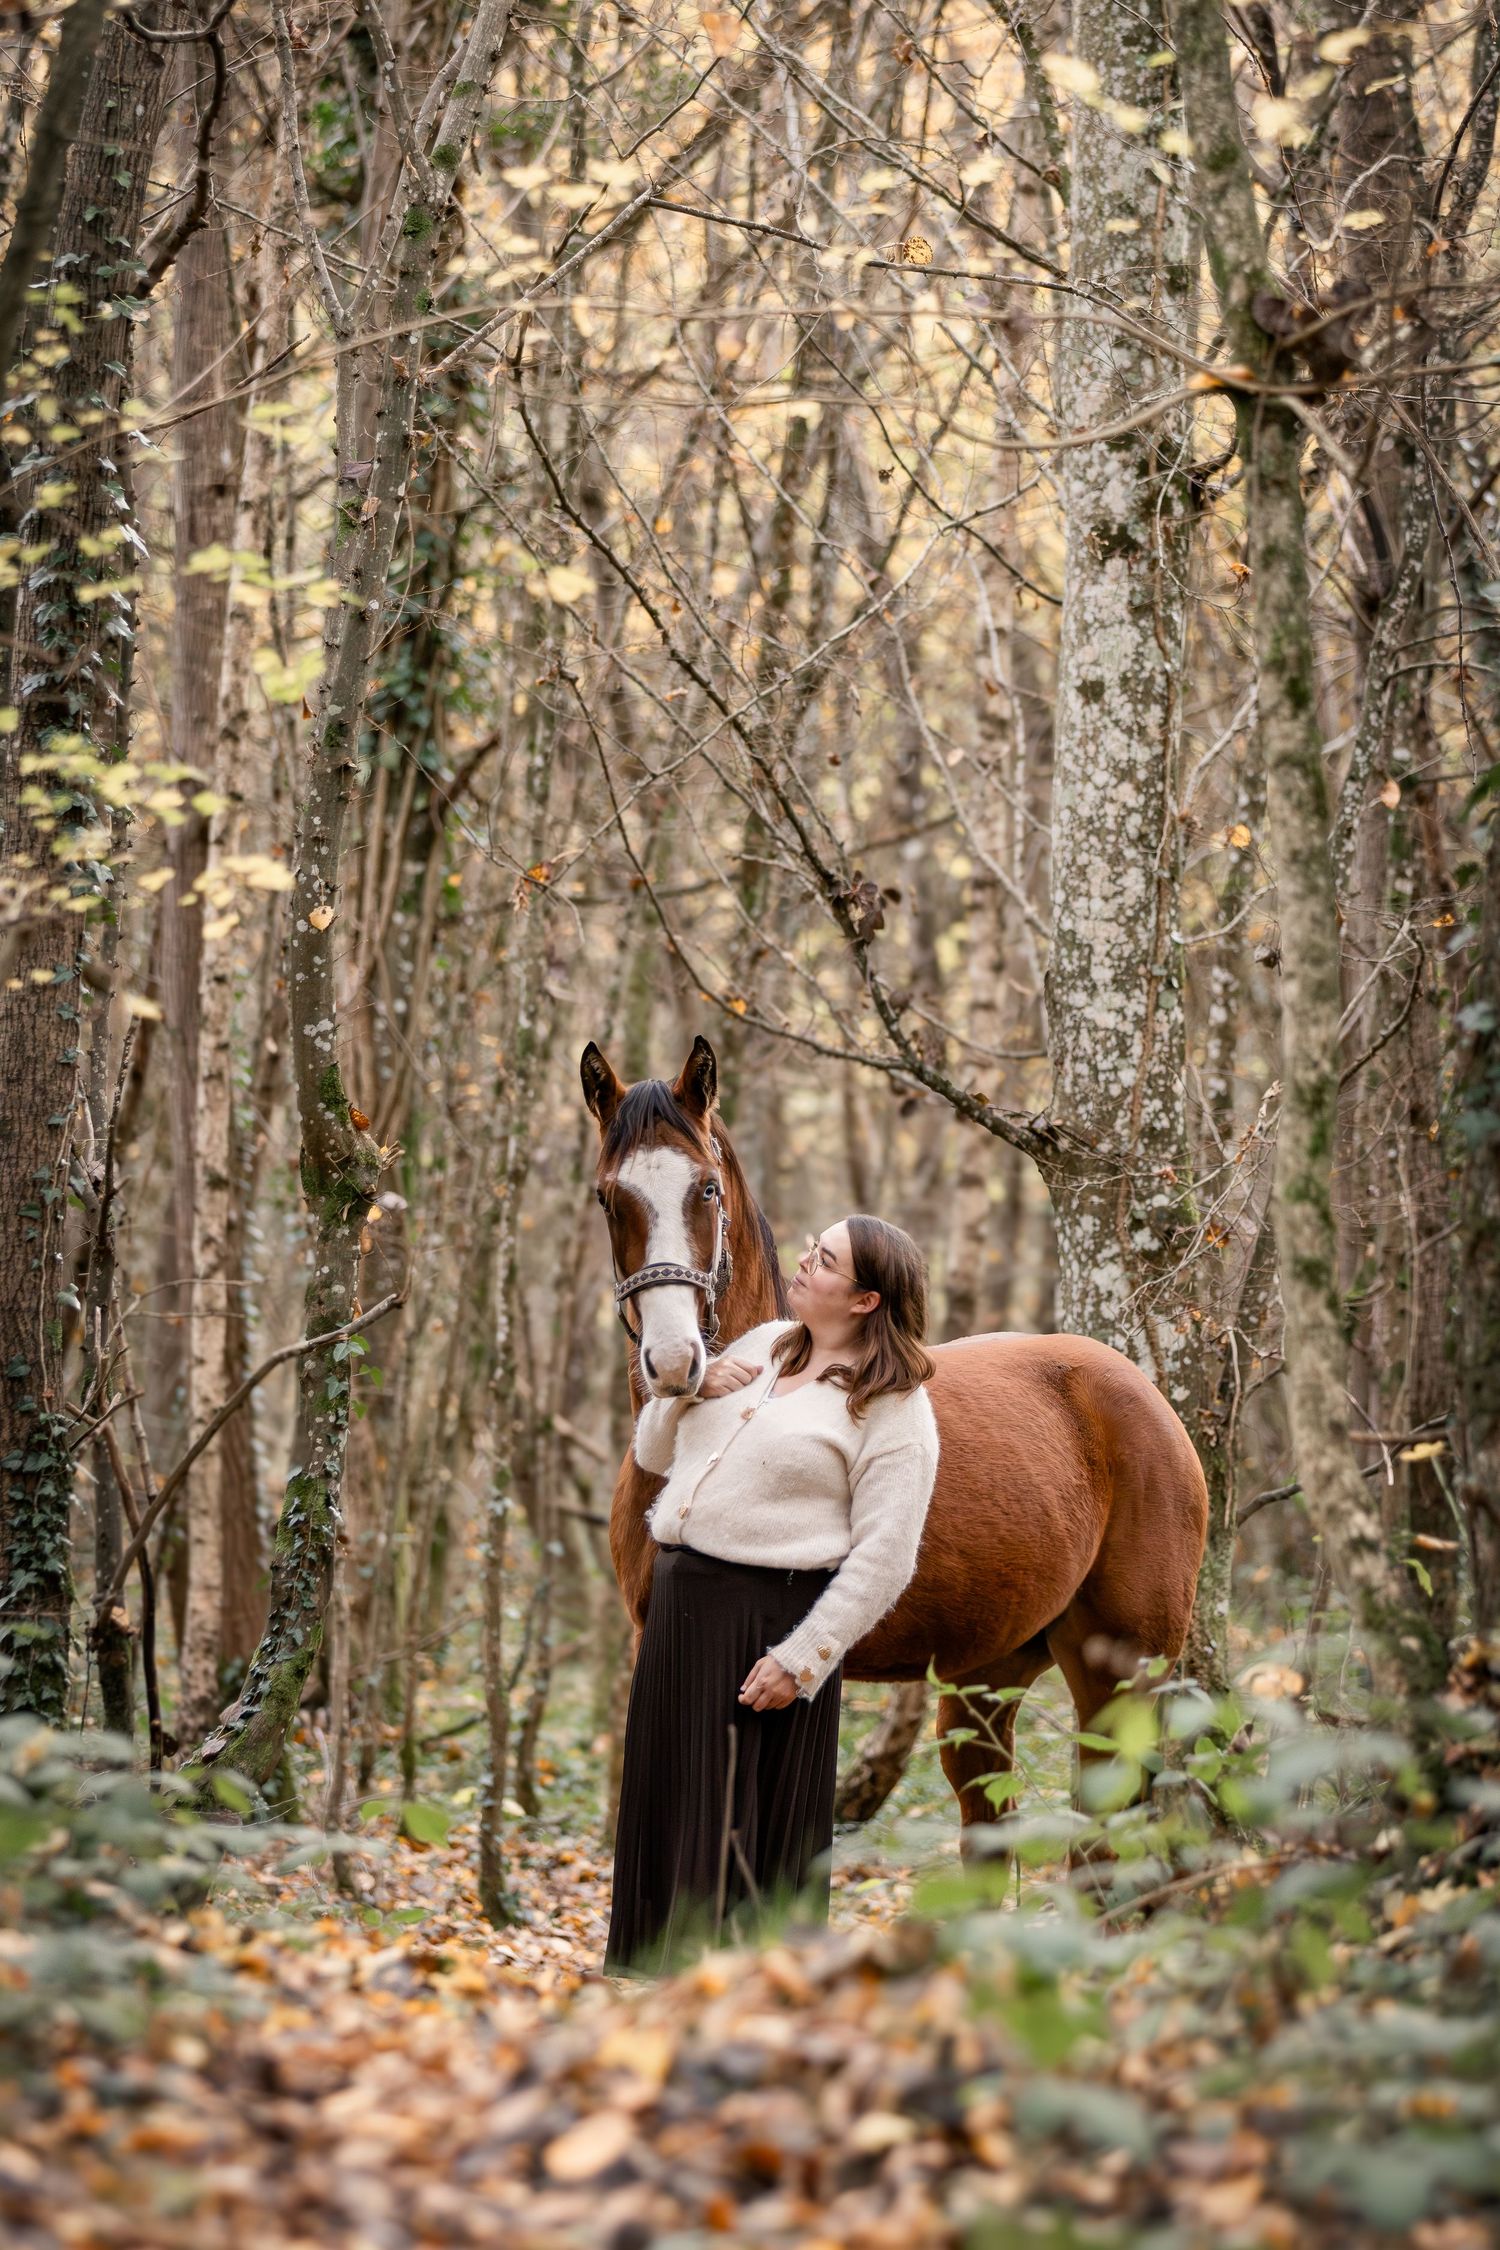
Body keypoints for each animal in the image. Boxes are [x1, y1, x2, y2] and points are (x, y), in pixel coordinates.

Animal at [581, 1033, 1209, 1848]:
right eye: (608, 1197)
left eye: (707, 1190)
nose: (673, 1362)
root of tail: (1145, 1395)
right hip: (988, 1675)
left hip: (1123, 1674)